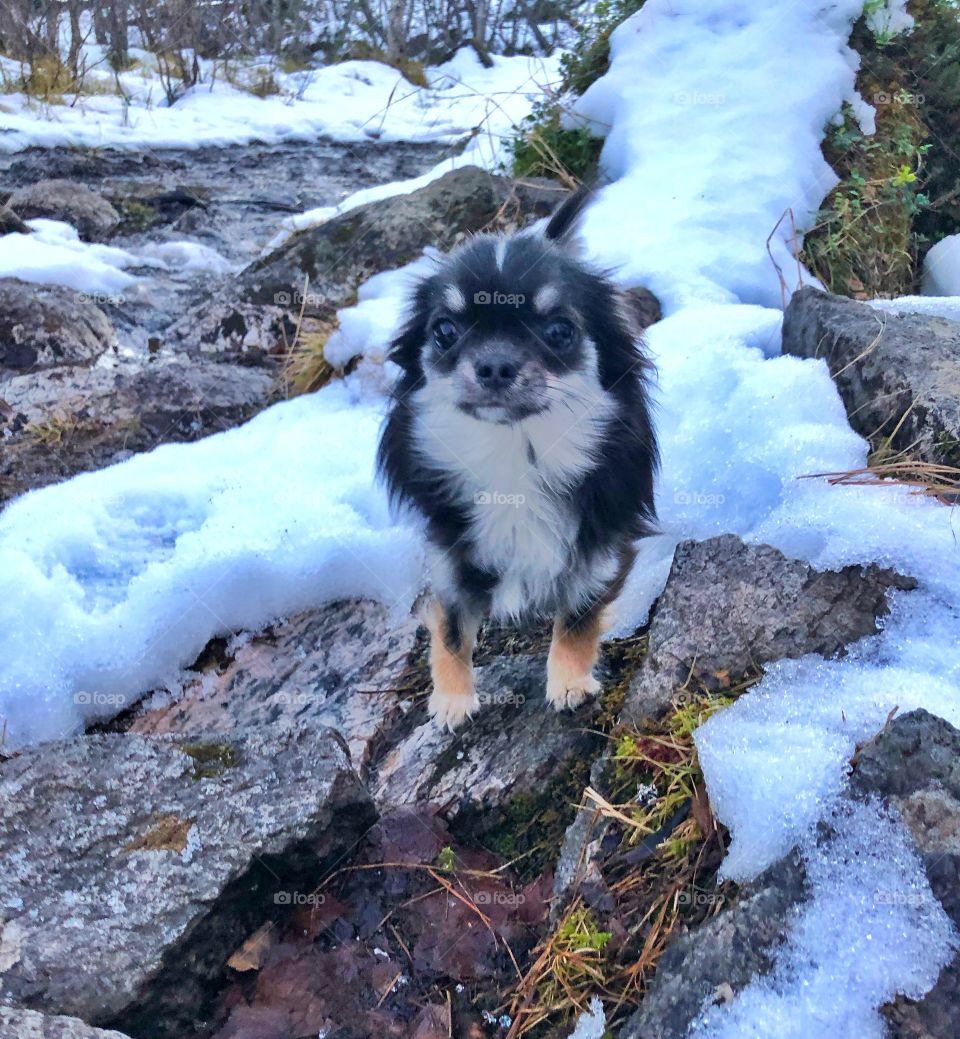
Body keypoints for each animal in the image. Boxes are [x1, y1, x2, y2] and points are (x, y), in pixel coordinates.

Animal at [378, 187, 656, 727]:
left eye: (560, 331)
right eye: (444, 331)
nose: (494, 365)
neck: (512, 455)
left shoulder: (600, 549)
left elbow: (577, 617)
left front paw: (568, 683)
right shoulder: (449, 555)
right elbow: (449, 628)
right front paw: (452, 699)